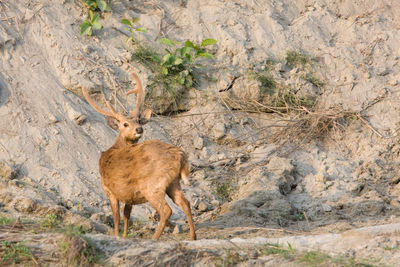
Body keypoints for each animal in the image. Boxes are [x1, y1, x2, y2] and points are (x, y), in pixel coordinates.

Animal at [82, 73, 197, 241]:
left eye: (138, 120)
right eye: (125, 124)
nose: (139, 129)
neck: (115, 148)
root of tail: (180, 155)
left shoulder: (109, 189)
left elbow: (116, 217)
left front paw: (117, 236)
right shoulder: (129, 194)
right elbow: (126, 215)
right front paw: (124, 235)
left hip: (152, 185)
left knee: (166, 210)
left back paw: (154, 238)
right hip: (173, 182)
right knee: (185, 203)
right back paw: (193, 236)